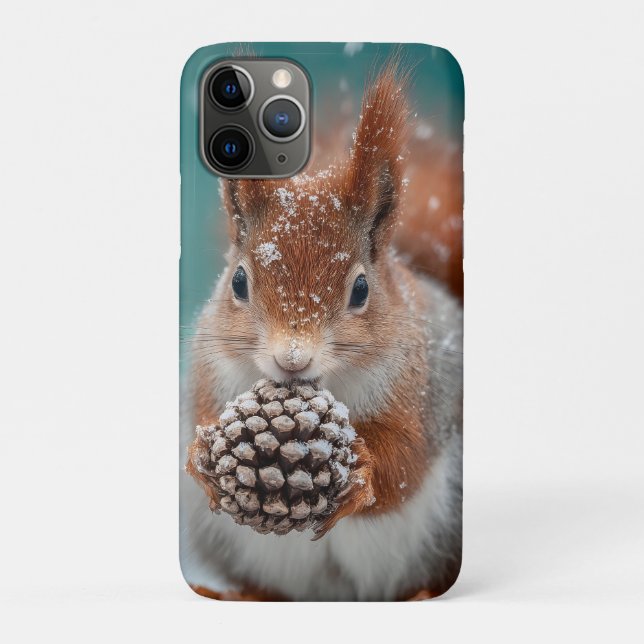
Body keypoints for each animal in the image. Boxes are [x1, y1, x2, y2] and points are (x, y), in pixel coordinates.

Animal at [181, 61, 463, 601]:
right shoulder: (211, 372)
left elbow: (406, 460)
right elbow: (201, 419)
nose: (292, 359)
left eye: (361, 289)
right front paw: (200, 456)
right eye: (238, 281)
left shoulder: (423, 395)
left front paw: (364, 473)